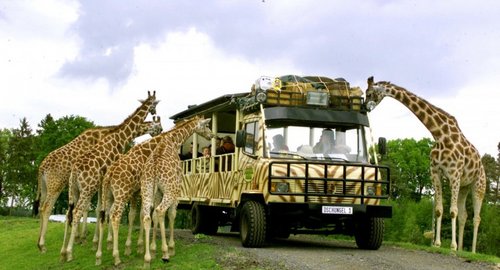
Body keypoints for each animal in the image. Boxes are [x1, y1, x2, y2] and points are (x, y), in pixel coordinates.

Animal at [58, 90, 161, 262]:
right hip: (87, 187)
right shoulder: (105, 179)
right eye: (155, 104)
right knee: (77, 211)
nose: (161, 131)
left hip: (74, 190)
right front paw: (107, 243)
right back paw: (70, 252)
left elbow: (102, 209)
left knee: (69, 213)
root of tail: (75, 171)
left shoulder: (103, 181)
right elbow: (105, 210)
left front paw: (102, 243)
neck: (121, 137)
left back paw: (63, 251)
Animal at [140, 116, 212, 268]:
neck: (174, 140)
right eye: (207, 125)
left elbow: (154, 216)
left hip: (147, 189)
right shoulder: (177, 190)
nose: (212, 135)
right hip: (170, 190)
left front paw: (153, 250)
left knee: (148, 216)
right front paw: (170, 248)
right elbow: (172, 214)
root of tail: (154, 168)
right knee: (161, 211)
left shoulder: (157, 192)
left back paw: (147, 259)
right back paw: (166, 254)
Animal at [366, 76, 486, 253]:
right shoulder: (435, 172)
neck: (440, 135)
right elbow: (439, 210)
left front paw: (451, 246)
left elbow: (452, 211)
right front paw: (438, 243)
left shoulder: (454, 174)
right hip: (465, 186)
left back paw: (472, 251)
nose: (365, 107)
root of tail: (482, 166)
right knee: (465, 215)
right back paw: (461, 248)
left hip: (478, 185)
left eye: (369, 93)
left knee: (476, 217)